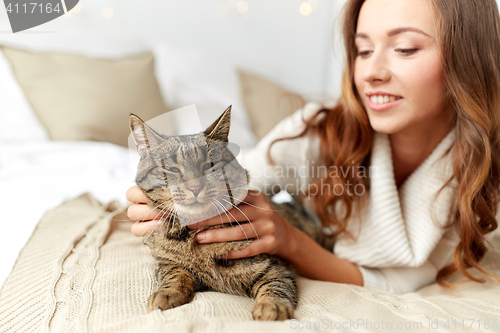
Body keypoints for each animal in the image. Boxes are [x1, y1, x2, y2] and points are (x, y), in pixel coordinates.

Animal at [129, 106, 332, 320]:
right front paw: (167, 293)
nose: (195, 187)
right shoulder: (166, 262)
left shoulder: (276, 267)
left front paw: (272, 306)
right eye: (171, 168)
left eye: (210, 165)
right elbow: (175, 274)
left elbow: (276, 286)